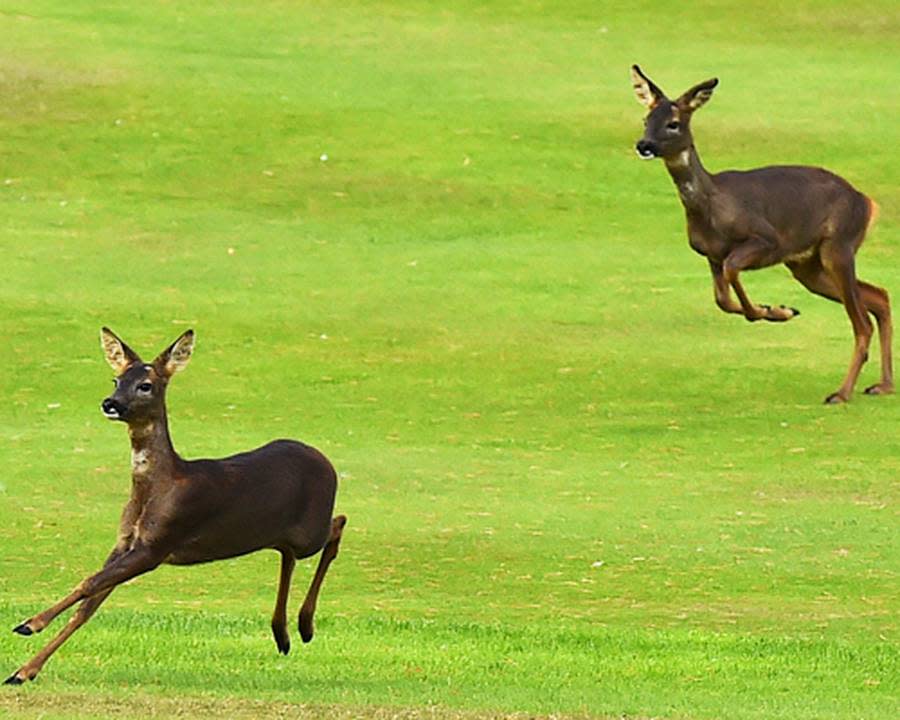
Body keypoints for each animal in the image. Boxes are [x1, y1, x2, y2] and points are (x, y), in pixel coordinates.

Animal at [5, 330, 346, 684]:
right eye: (116, 379)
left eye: (145, 385)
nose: (110, 403)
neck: (159, 487)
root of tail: (326, 461)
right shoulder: (125, 542)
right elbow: (88, 607)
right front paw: (24, 671)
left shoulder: (158, 544)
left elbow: (90, 583)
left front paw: (29, 624)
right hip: (280, 534)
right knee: (288, 553)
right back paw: (283, 634)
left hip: (310, 531)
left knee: (337, 524)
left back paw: (304, 626)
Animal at [628, 64, 888, 402]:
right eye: (646, 119)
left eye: (673, 123)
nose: (644, 145)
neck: (712, 205)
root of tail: (868, 203)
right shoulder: (711, 255)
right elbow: (722, 300)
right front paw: (778, 309)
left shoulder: (766, 239)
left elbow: (733, 270)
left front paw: (771, 311)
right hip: (808, 265)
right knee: (880, 296)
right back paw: (882, 386)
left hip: (839, 244)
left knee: (863, 323)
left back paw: (841, 393)